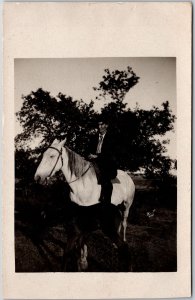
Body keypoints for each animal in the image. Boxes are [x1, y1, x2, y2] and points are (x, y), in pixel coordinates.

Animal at [34, 139, 135, 270]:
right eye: (43, 155)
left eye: (52, 156)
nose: (37, 178)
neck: (81, 184)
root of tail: (128, 176)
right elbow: (81, 240)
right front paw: (81, 260)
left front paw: (83, 261)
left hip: (126, 206)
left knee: (124, 224)